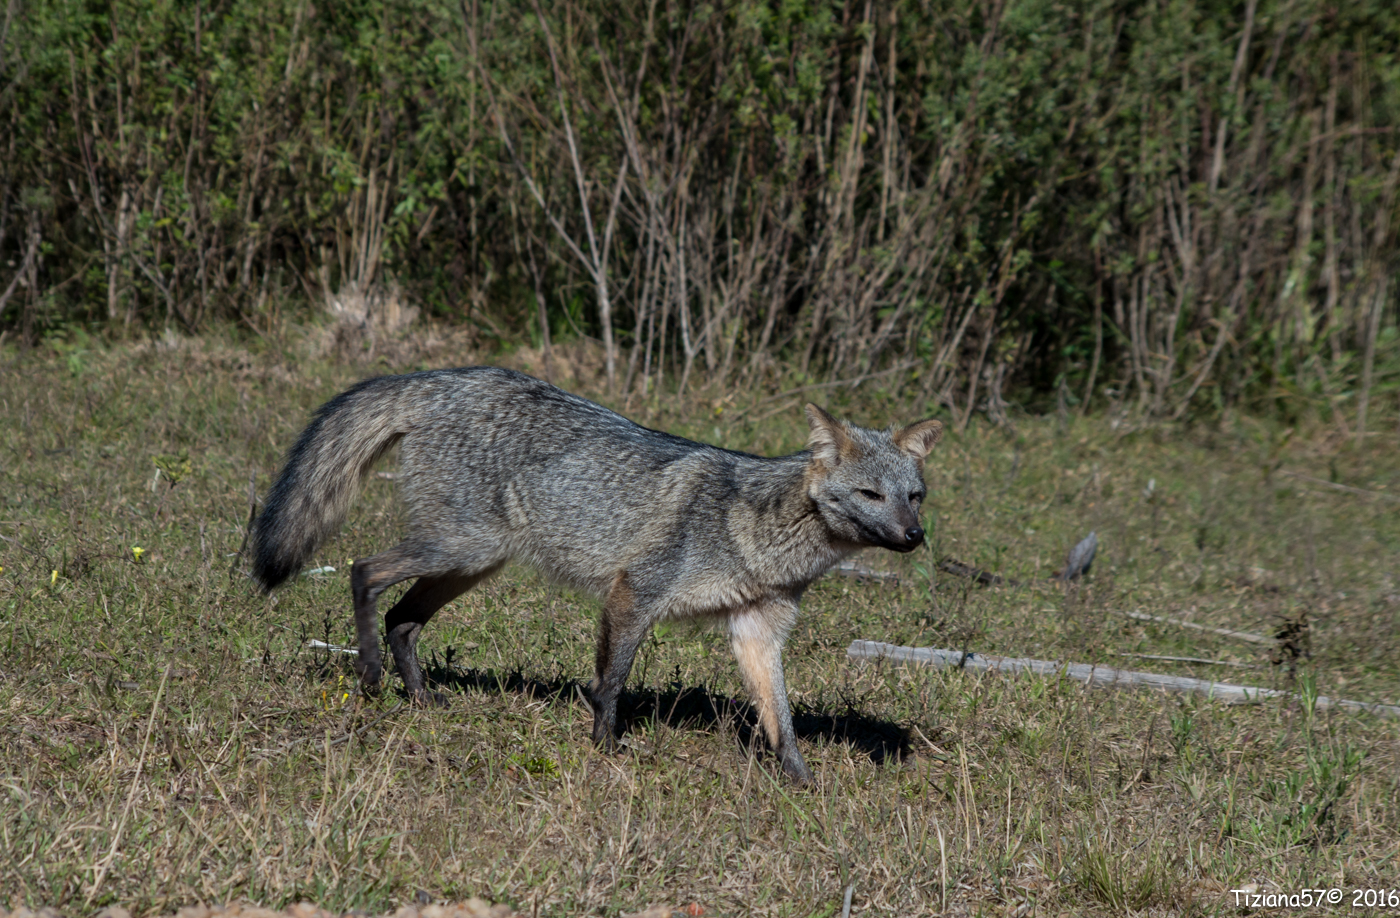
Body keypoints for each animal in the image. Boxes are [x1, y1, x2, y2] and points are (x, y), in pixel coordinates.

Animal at [249, 366, 941, 782]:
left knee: (403, 618)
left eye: (915, 496)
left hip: (471, 562)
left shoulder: (757, 631)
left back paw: (419, 698)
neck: (756, 532)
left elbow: (782, 719)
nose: (915, 538)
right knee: (365, 571)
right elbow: (611, 683)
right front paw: (606, 750)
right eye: (871, 495)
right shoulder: (634, 594)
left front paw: (799, 781)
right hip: (461, 548)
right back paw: (369, 676)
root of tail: (445, 379)